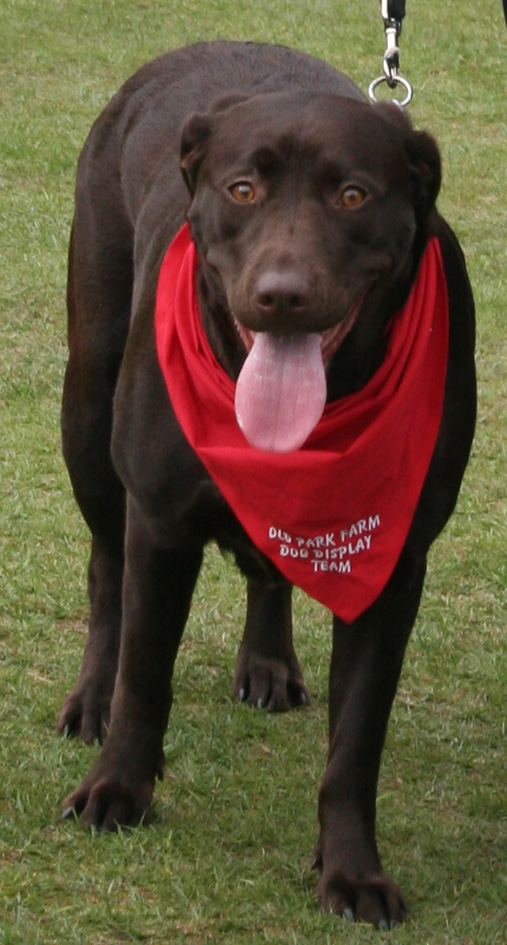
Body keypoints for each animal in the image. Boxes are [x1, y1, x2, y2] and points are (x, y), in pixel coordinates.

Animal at [59, 40, 476, 924]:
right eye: (241, 188)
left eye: (353, 194)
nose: (281, 294)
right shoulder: (159, 520)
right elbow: (146, 669)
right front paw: (118, 790)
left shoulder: (394, 564)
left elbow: (355, 741)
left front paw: (351, 869)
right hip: (87, 408)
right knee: (106, 572)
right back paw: (91, 698)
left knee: (267, 566)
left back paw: (268, 662)